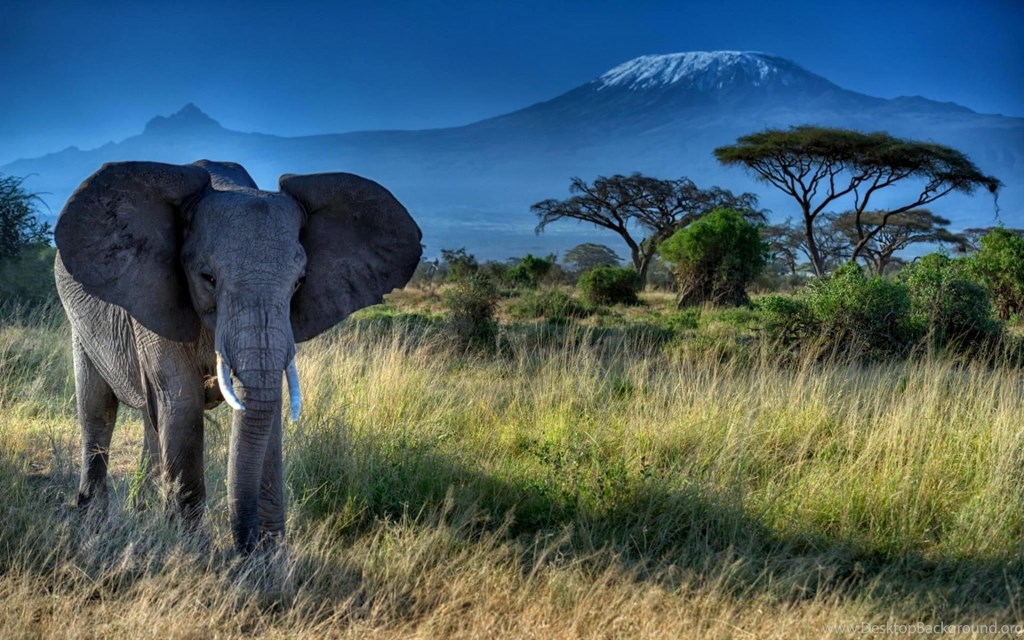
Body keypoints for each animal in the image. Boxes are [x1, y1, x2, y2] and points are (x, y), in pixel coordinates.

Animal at [54, 159, 422, 553]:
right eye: (208, 278)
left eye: (298, 283)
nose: (243, 548)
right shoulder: (153, 294)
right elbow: (182, 402)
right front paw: (189, 551)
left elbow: (266, 410)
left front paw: (270, 557)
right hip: (79, 318)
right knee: (98, 407)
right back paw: (92, 519)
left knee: (151, 419)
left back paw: (142, 512)